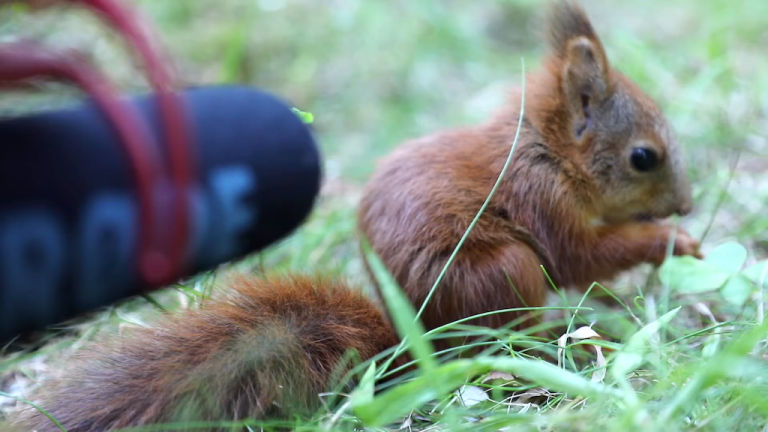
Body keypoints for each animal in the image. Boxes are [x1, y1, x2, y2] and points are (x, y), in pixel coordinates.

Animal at [7, 1, 704, 430]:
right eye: (643, 157)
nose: (688, 204)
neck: (549, 151)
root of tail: (419, 340)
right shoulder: (543, 201)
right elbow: (578, 256)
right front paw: (672, 240)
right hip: (505, 270)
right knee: (509, 334)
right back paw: (563, 347)